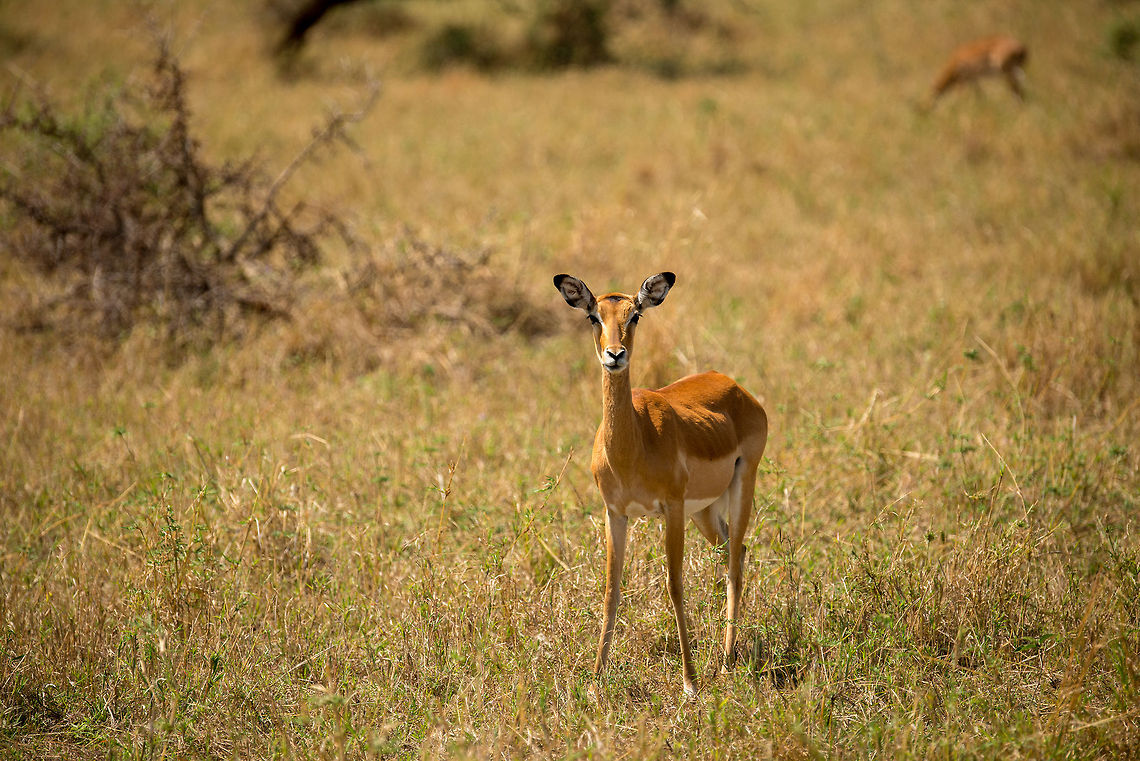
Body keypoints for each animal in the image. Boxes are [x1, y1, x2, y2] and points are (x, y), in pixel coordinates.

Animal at [554, 272, 768, 696]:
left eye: (635, 315)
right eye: (592, 316)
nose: (615, 355)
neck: (634, 442)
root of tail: (734, 387)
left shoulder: (671, 509)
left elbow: (674, 585)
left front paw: (690, 683)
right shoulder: (615, 513)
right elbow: (611, 588)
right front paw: (595, 682)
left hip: (741, 486)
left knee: (735, 563)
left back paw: (725, 662)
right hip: (705, 511)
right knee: (735, 552)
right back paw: (727, 653)